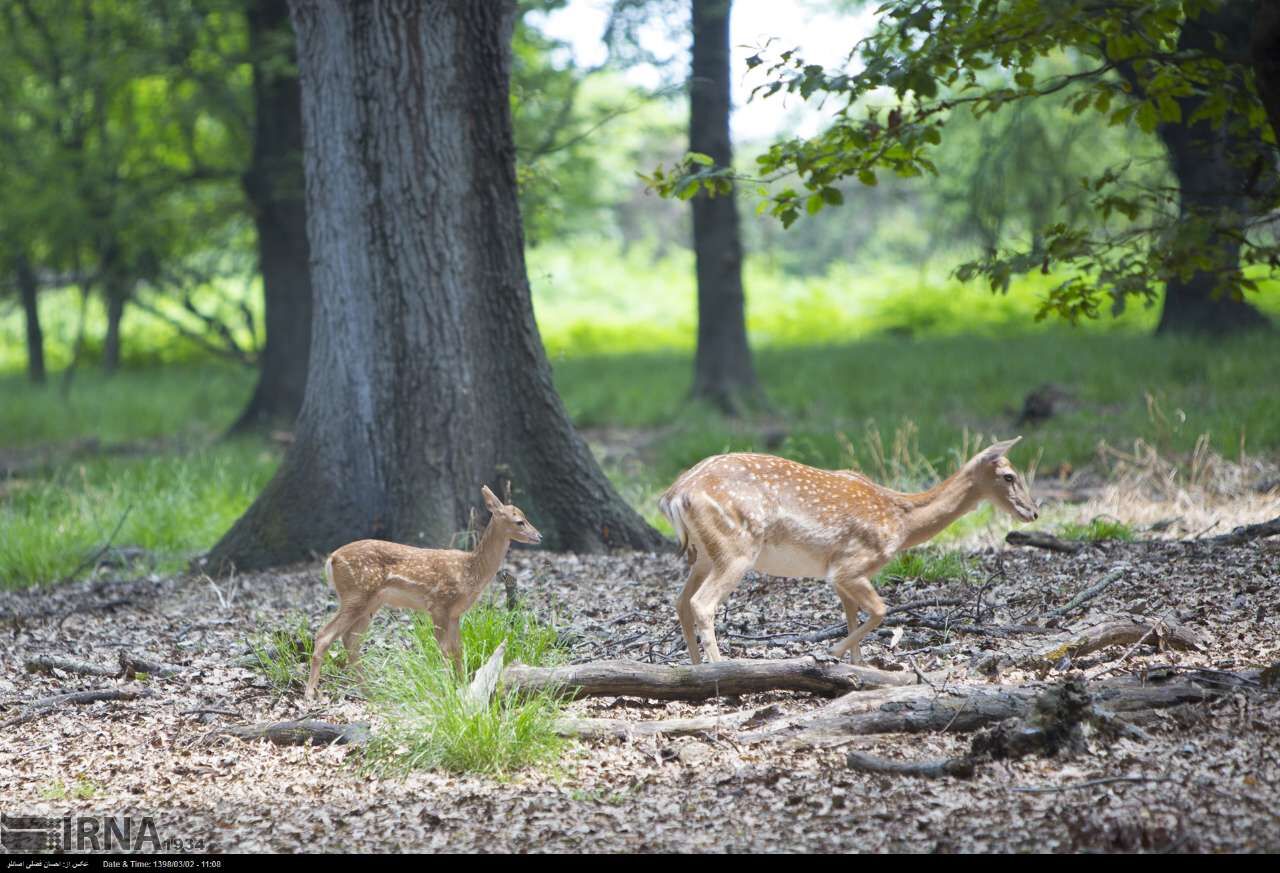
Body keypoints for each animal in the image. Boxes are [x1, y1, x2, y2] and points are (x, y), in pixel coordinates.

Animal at [304, 483, 540, 691]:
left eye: (526, 517)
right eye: (519, 521)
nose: (539, 536)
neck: (471, 571)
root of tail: (332, 559)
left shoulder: (455, 613)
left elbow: (458, 649)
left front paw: (462, 684)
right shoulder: (439, 604)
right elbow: (444, 648)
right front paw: (446, 686)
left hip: (370, 602)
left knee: (350, 640)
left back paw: (367, 690)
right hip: (356, 593)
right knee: (324, 635)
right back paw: (312, 694)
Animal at [660, 437, 1039, 660]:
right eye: (1009, 476)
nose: (1033, 511)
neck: (901, 522)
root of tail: (674, 494)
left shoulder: (839, 574)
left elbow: (852, 616)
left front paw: (855, 669)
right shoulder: (851, 565)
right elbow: (881, 610)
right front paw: (829, 653)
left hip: (705, 555)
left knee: (680, 601)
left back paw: (693, 670)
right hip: (736, 549)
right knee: (701, 603)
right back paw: (719, 669)